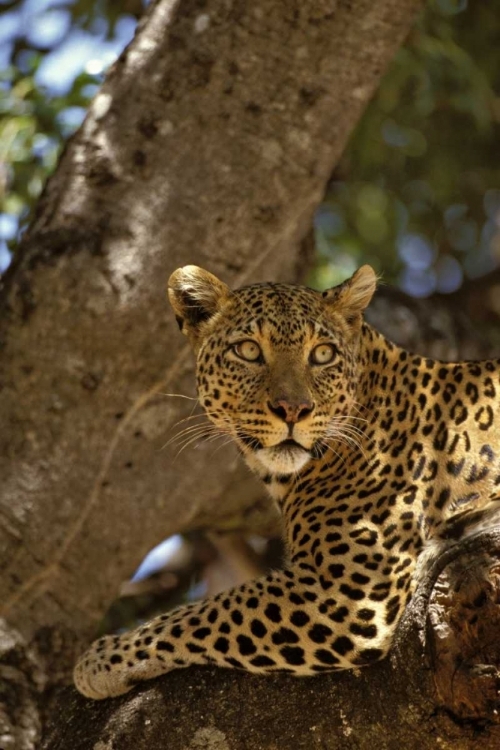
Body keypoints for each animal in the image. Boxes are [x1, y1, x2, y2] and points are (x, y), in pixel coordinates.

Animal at [74, 262, 500, 700]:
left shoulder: (348, 588)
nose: (292, 409)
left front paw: (102, 659)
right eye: (248, 350)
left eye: (322, 354)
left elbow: (209, 612)